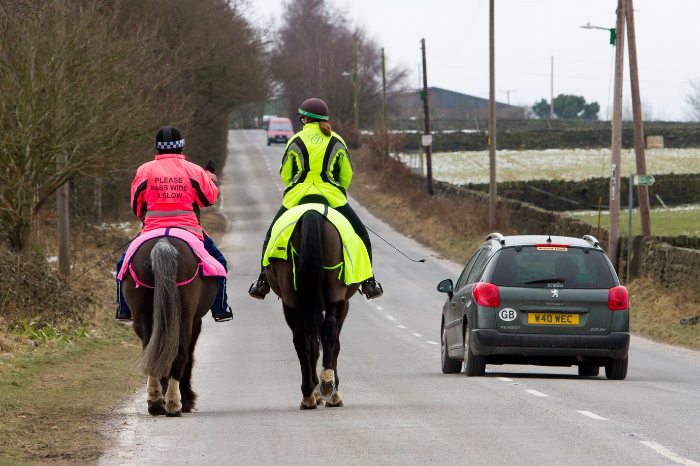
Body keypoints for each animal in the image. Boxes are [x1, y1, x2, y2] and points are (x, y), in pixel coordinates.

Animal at [122, 238, 216, 416]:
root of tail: (163, 242)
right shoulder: (196, 322)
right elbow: (188, 357)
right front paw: (187, 400)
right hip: (184, 319)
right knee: (180, 353)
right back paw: (175, 403)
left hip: (142, 317)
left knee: (151, 350)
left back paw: (155, 400)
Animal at [266, 209, 358, 410]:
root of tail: (311, 212)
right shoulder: (343, 303)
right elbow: (332, 345)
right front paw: (323, 390)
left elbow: (313, 347)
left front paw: (316, 391)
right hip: (335, 293)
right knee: (328, 332)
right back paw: (328, 391)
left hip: (292, 301)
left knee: (301, 340)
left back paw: (310, 394)